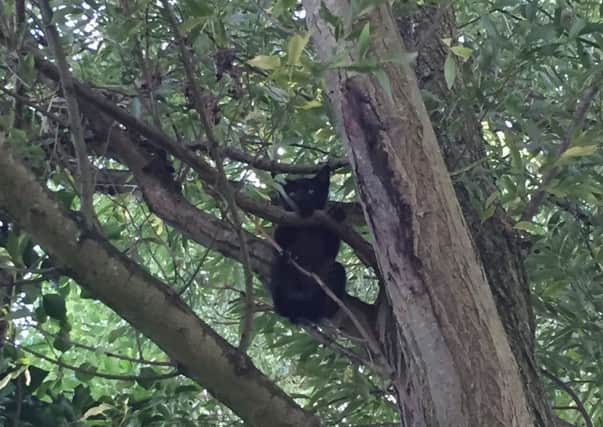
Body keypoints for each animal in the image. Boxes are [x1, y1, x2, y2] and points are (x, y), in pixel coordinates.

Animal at [268, 167, 346, 324]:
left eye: (311, 191)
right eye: (292, 193)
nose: (301, 199)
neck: (307, 227)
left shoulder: (330, 248)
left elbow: (332, 245)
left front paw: (337, 213)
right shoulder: (281, 228)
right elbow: (280, 237)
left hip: (336, 271)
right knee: (281, 305)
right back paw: (288, 259)